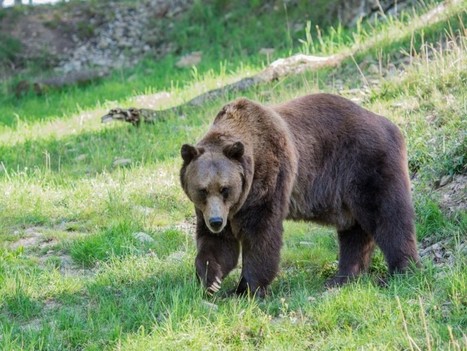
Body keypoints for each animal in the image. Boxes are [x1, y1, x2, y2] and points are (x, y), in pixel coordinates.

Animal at [179, 93, 420, 296]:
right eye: (202, 190)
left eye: (225, 188)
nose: (216, 221)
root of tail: (391, 125)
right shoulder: (219, 210)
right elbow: (218, 244)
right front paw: (211, 280)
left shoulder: (268, 180)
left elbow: (261, 236)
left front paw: (246, 289)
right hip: (347, 193)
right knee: (354, 232)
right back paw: (342, 277)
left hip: (366, 166)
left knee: (388, 218)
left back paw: (402, 270)